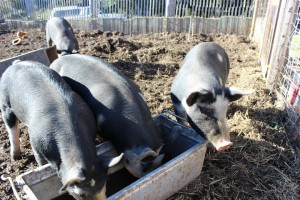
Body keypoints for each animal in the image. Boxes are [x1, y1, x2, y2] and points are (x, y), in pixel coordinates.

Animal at [0, 60, 122, 199]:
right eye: (82, 195)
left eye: (104, 186)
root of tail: (16, 63)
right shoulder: (36, 142)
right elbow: (41, 162)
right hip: (5, 102)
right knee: (11, 126)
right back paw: (15, 157)